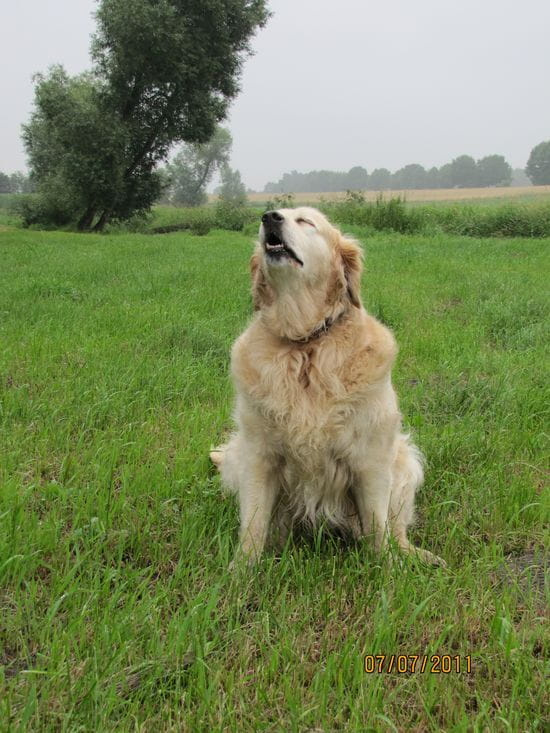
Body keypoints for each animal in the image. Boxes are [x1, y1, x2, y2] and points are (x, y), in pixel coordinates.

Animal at [209, 206, 446, 568]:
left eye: (306, 221)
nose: (269, 217)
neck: (305, 344)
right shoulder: (258, 455)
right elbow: (253, 524)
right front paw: (240, 572)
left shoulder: (370, 458)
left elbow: (378, 525)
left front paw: (389, 571)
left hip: (405, 462)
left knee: (397, 526)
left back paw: (417, 555)